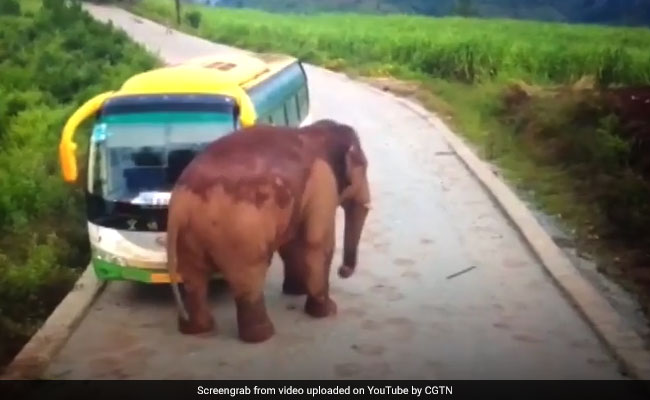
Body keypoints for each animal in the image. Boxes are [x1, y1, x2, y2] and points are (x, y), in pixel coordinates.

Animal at [165, 119, 372, 344]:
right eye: (365, 167)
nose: (343, 271)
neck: (315, 133)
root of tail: (180, 205)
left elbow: (292, 243)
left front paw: (295, 291)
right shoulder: (323, 183)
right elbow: (317, 243)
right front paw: (327, 311)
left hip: (188, 237)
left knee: (193, 278)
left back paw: (197, 329)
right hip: (240, 236)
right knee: (249, 276)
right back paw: (262, 335)